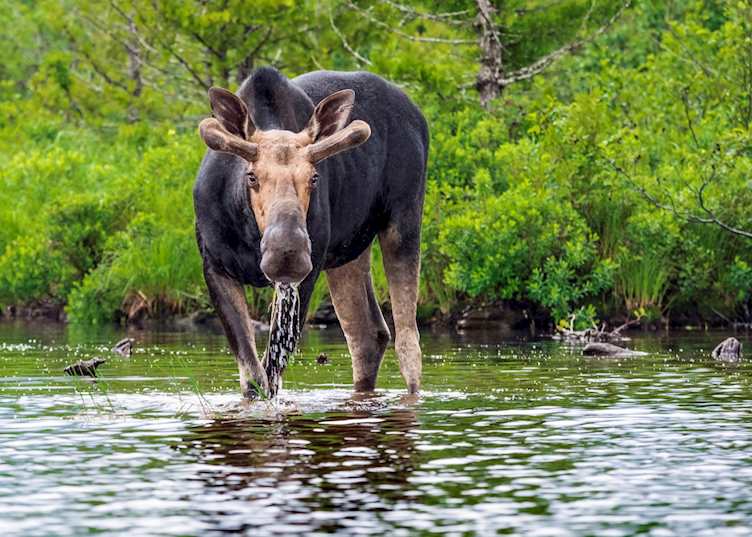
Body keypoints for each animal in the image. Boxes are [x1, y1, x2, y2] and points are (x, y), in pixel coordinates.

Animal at [193, 67, 428, 400]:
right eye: (251, 176)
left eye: (314, 177)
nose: (286, 254)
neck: (249, 234)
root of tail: (418, 116)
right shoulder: (214, 265)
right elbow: (254, 377)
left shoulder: (308, 273)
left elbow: (270, 372)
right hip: (348, 253)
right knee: (367, 333)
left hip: (403, 219)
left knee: (408, 341)